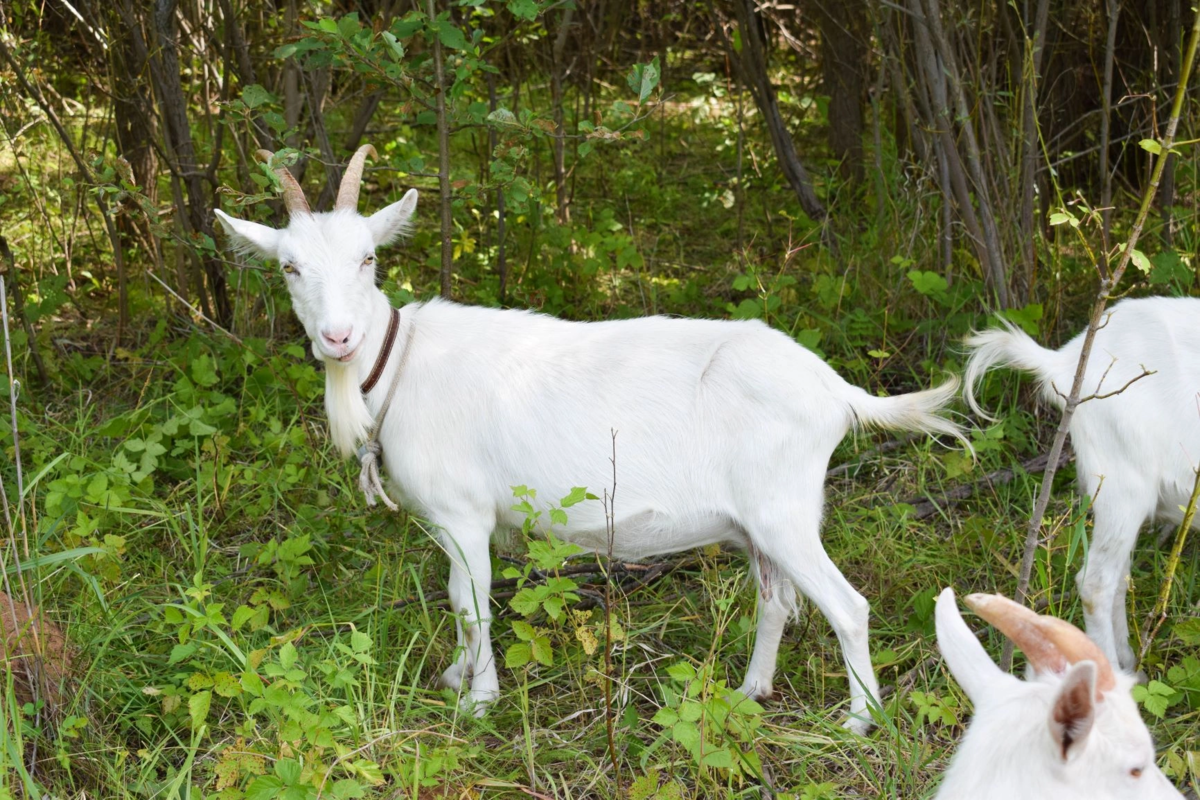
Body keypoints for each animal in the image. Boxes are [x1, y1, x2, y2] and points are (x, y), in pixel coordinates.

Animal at [213, 143, 964, 734]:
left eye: (368, 258)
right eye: (289, 267)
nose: (338, 337)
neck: (400, 363)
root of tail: (836, 391)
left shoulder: (464, 513)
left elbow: (474, 603)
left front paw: (479, 701)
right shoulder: (451, 522)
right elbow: (458, 601)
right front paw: (457, 676)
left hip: (784, 510)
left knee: (848, 606)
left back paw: (860, 720)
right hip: (759, 523)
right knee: (777, 600)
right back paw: (750, 691)